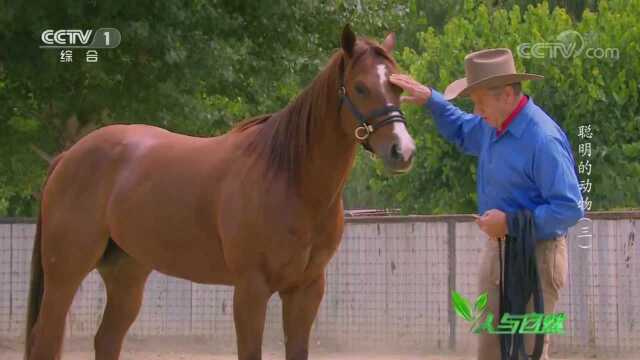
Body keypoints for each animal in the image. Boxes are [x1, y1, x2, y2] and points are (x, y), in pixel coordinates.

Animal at [23, 25, 416, 360]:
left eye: (398, 88)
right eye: (361, 87)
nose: (403, 150)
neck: (290, 179)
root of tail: (68, 156)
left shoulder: (306, 290)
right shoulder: (251, 289)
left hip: (126, 275)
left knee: (106, 340)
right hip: (65, 274)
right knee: (46, 339)